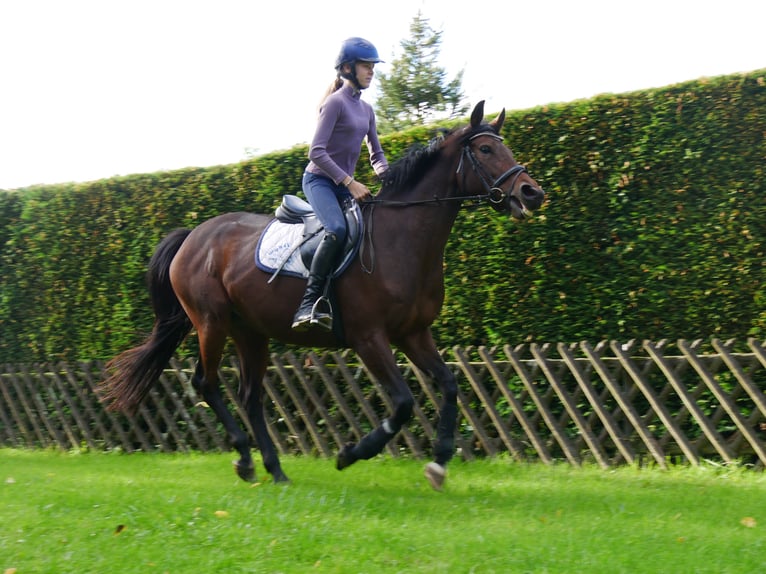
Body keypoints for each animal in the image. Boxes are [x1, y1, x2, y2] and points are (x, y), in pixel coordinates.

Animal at [99, 101, 544, 492]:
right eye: (486, 149)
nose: (531, 192)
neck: (402, 240)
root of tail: (193, 235)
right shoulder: (369, 338)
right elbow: (402, 403)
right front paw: (351, 454)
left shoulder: (413, 334)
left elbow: (450, 385)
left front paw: (438, 465)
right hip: (212, 323)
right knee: (206, 383)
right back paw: (245, 459)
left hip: (251, 333)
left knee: (250, 396)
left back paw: (275, 470)